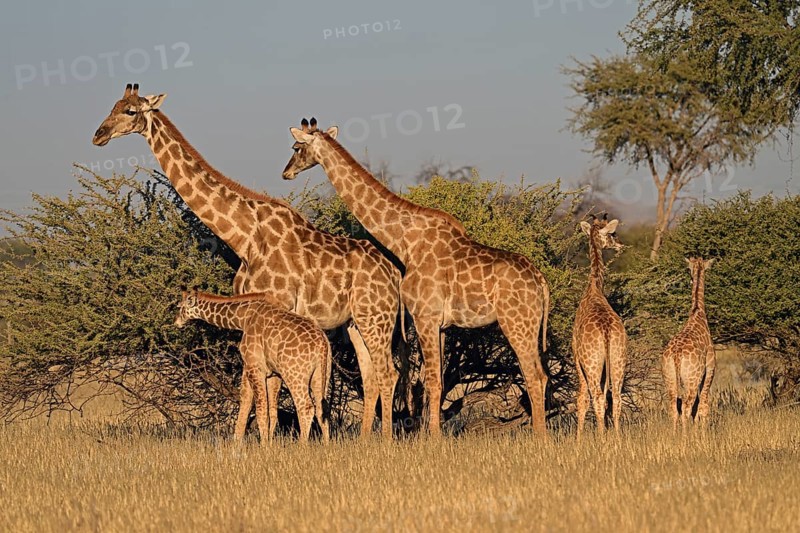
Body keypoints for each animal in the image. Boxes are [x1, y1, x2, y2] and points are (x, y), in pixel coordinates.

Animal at [175, 290, 331, 442]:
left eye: (180, 307)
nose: (176, 323)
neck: (243, 318)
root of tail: (322, 345)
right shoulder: (272, 373)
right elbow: (268, 410)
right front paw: (264, 443)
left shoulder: (253, 366)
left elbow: (259, 409)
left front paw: (262, 445)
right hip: (321, 374)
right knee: (322, 407)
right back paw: (326, 444)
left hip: (294, 374)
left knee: (306, 407)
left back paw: (302, 445)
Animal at [281, 118, 551, 437]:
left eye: (296, 147)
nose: (286, 172)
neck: (404, 241)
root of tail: (541, 281)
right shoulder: (441, 324)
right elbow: (439, 381)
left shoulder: (425, 316)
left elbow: (432, 380)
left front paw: (433, 439)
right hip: (528, 325)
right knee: (542, 375)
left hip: (517, 322)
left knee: (533, 375)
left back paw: (539, 438)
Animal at [662, 257, 716, 431]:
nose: (691, 277)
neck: (698, 310)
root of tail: (677, 355)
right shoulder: (710, 368)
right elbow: (703, 405)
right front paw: (702, 433)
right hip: (692, 379)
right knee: (686, 407)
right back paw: (686, 436)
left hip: (670, 377)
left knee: (674, 407)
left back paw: (675, 435)